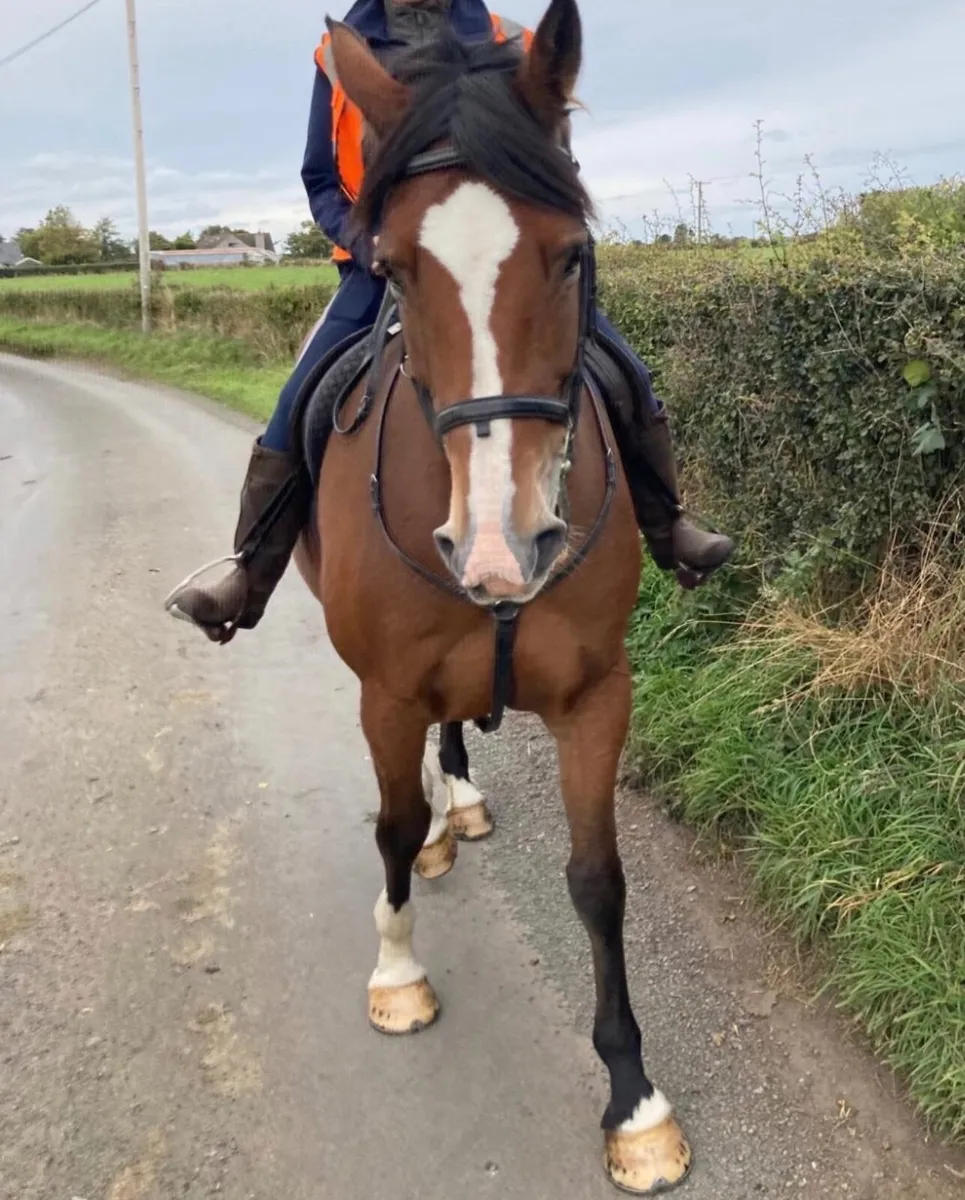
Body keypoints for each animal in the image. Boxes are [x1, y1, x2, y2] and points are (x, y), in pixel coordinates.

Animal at [293, 1, 693, 1192]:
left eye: (572, 257)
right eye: (392, 267)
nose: (499, 549)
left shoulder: (597, 694)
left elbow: (598, 879)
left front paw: (633, 1101)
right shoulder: (382, 691)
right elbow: (387, 827)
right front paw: (395, 976)